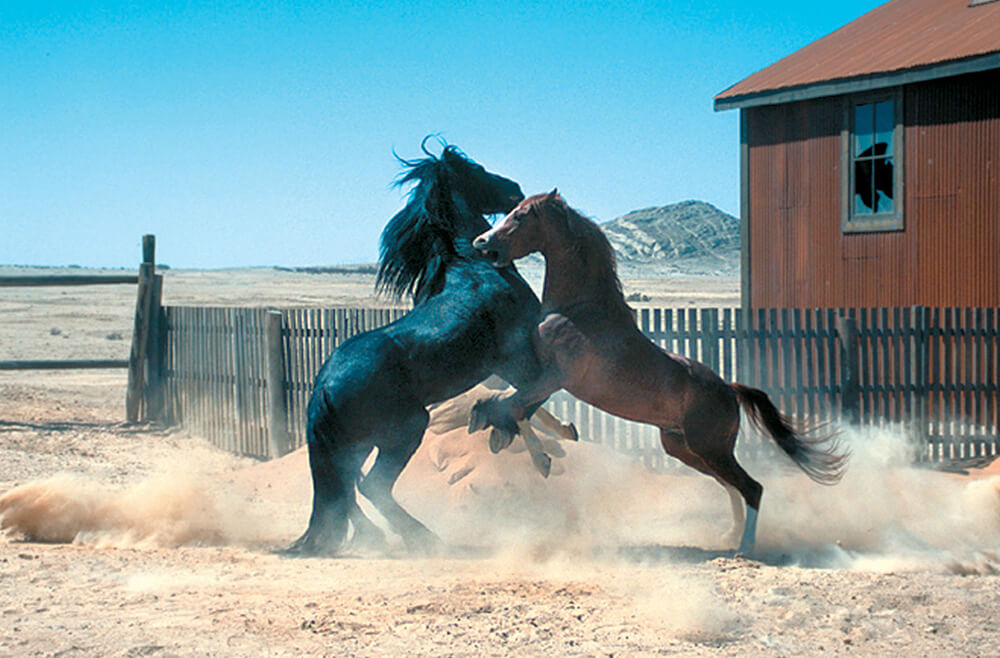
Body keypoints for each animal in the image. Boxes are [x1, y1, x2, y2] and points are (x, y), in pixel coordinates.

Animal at [286, 142, 552, 552]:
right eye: (476, 169)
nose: (514, 187)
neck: (473, 269)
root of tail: (323, 387)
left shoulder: (507, 361)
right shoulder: (516, 352)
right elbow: (536, 391)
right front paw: (507, 434)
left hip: (354, 445)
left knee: (345, 489)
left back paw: (376, 536)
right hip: (407, 428)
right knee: (371, 485)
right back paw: (422, 538)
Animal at [468, 190, 844, 552]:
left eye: (521, 216)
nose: (481, 241)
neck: (578, 311)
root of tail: (730, 389)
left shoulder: (558, 377)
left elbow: (513, 404)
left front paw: (537, 456)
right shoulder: (545, 376)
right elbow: (517, 404)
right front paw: (535, 433)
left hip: (707, 447)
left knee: (752, 487)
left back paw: (745, 546)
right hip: (685, 448)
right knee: (730, 485)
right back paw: (729, 535)